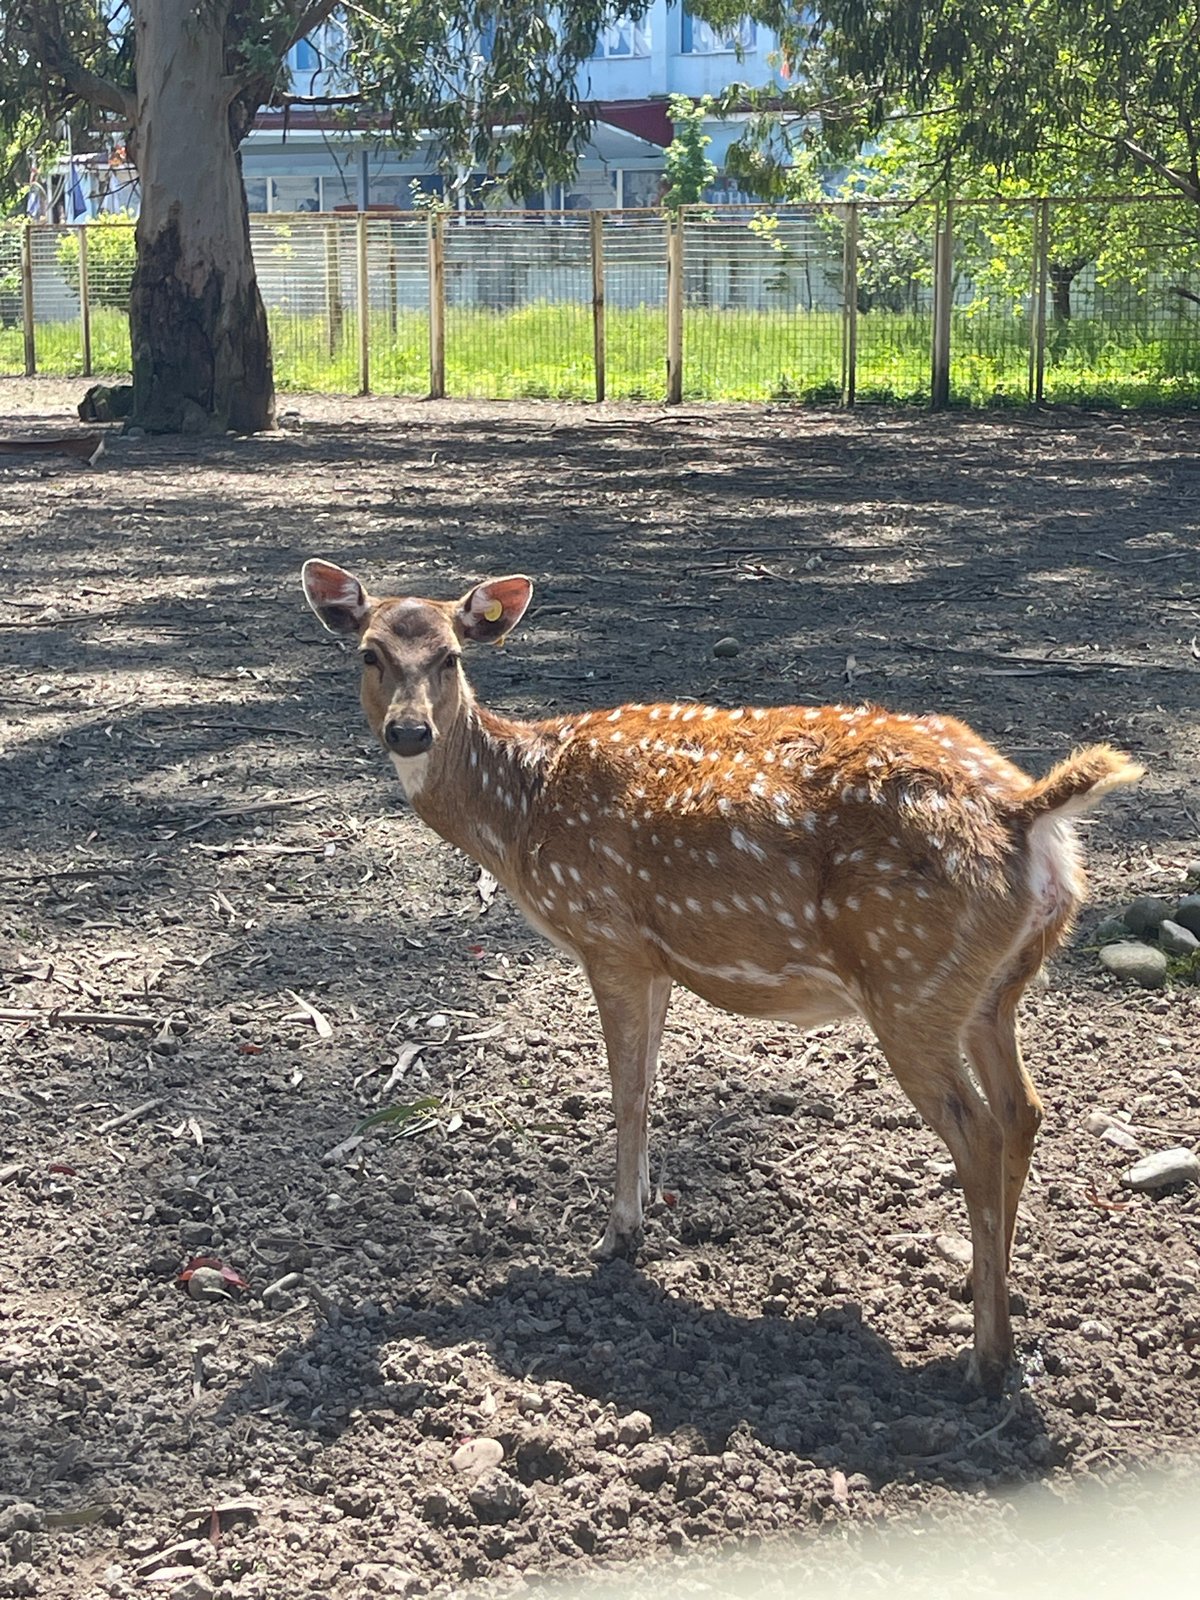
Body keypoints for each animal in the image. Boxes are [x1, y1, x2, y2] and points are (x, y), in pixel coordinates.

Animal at [301, 558, 1142, 1395]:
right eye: (369, 652)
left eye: (451, 656)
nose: (409, 730)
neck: (520, 812)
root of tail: (1027, 815)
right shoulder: (661, 957)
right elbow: (650, 1085)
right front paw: (641, 1212)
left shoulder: (608, 936)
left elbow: (625, 1092)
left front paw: (617, 1234)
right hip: (993, 988)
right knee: (1023, 1109)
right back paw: (985, 1288)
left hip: (910, 982)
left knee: (978, 1129)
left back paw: (986, 1357)